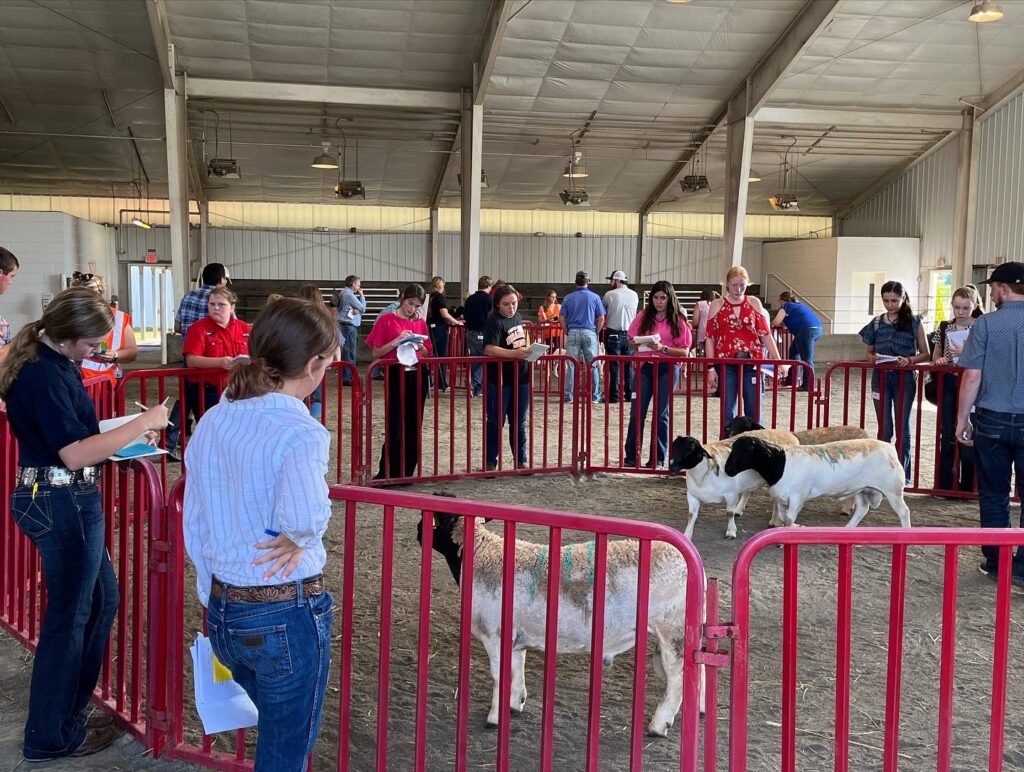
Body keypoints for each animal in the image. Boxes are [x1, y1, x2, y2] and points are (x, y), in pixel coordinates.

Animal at [720, 436, 913, 528]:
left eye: (747, 450)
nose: (727, 469)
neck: (780, 463)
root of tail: (890, 448)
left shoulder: (797, 498)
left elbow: (789, 519)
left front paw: (795, 529)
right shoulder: (781, 499)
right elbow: (783, 518)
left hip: (893, 490)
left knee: (904, 512)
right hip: (861, 489)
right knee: (862, 509)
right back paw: (847, 529)